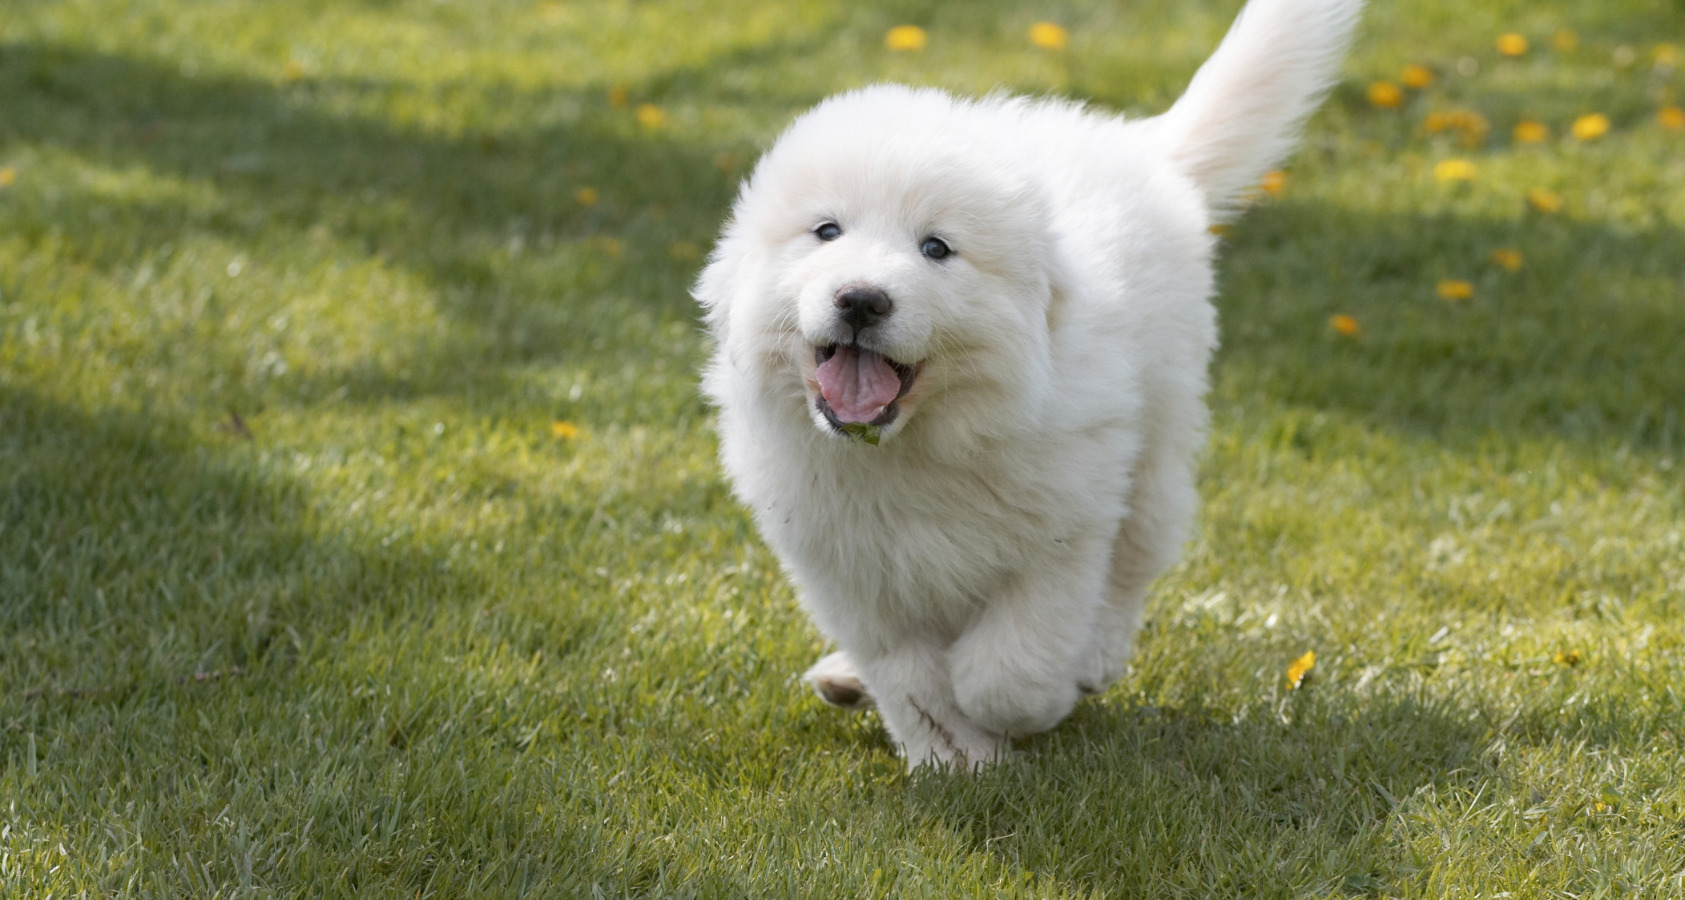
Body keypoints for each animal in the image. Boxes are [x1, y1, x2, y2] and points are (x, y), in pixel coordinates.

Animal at [690, 0, 1361, 768]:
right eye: (826, 231)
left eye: (936, 248)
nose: (860, 300)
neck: (916, 446)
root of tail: (1135, 147)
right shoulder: (848, 571)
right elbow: (909, 677)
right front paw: (952, 758)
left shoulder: (1063, 531)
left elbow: (1010, 668)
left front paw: (1015, 716)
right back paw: (846, 677)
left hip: (1156, 446)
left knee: (1132, 563)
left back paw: (1093, 660)